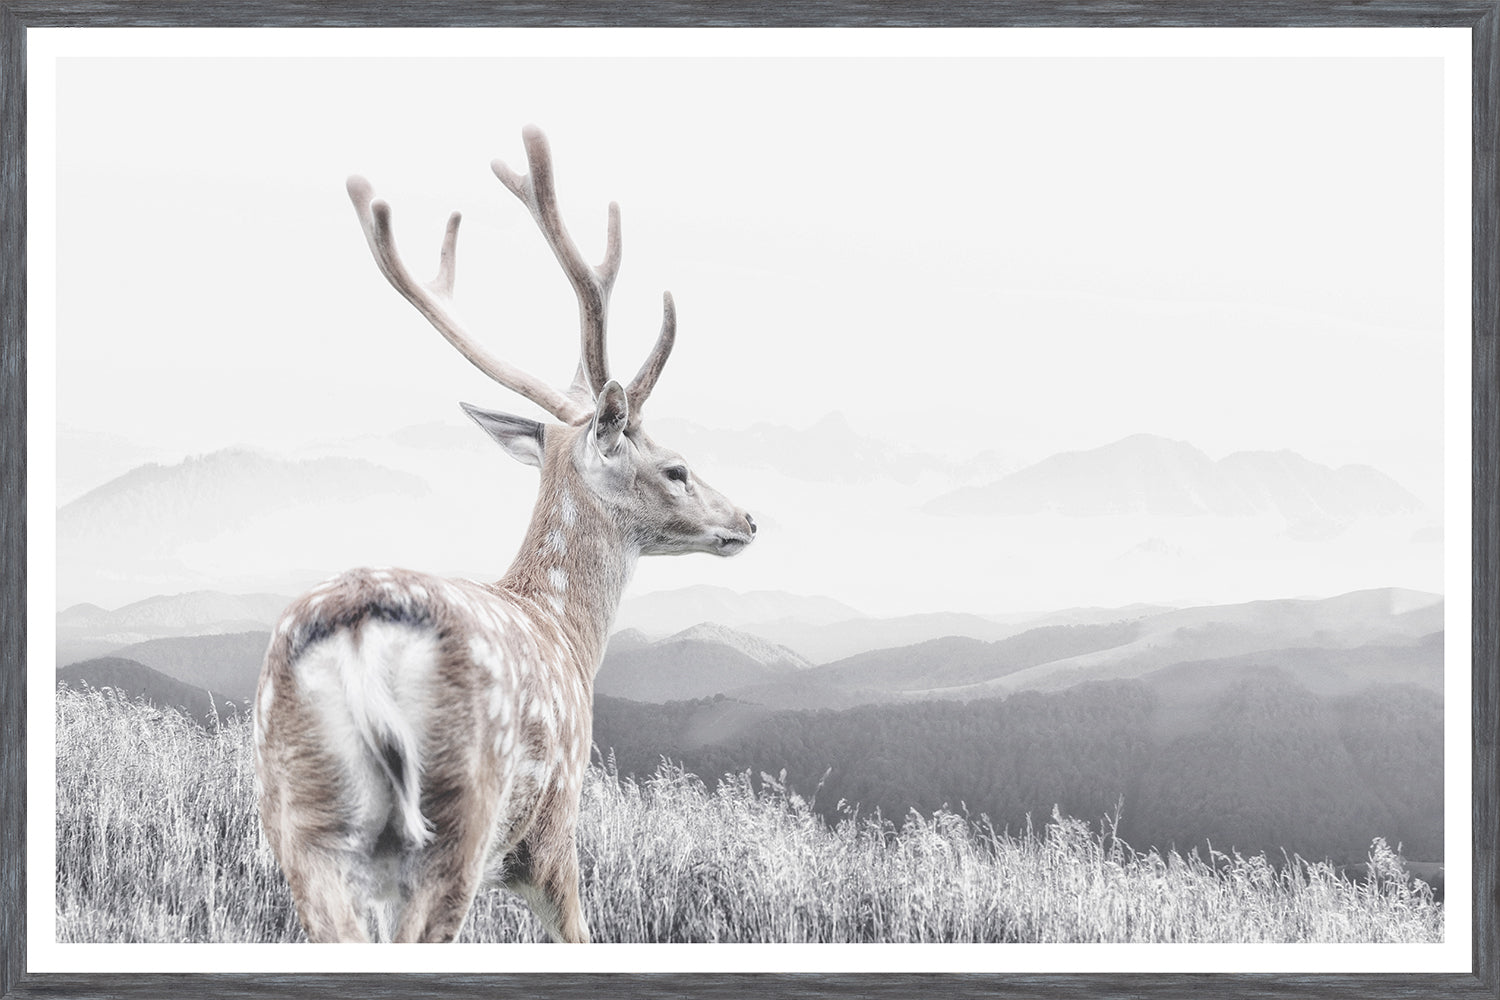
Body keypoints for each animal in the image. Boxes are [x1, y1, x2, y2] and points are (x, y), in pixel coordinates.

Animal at [253, 125, 756, 944]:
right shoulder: (553, 836)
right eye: (676, 468)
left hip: (295, 818)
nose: (746, 520)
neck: (567, 633)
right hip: (457, 820)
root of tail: (357, 634)